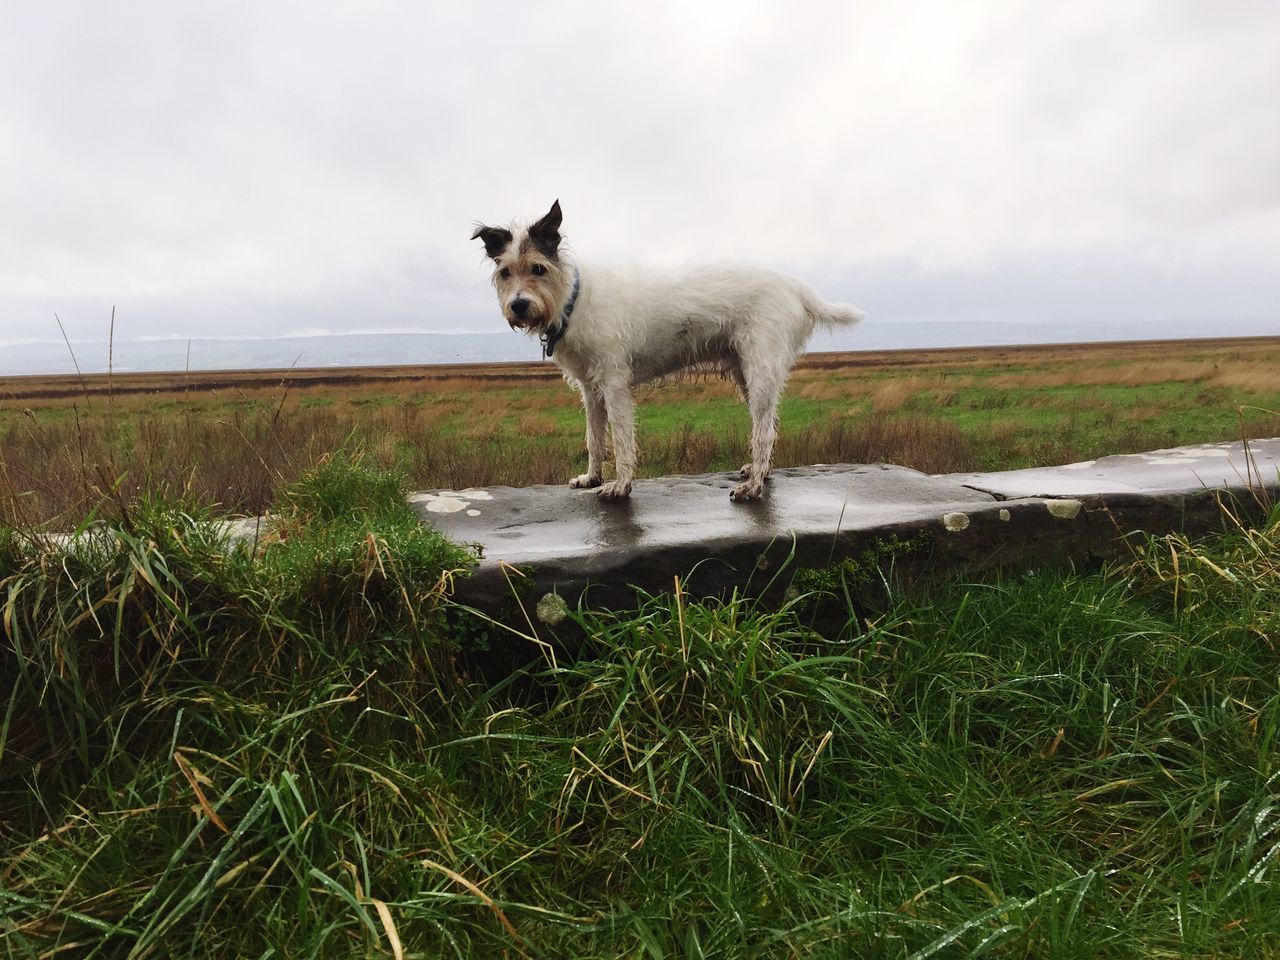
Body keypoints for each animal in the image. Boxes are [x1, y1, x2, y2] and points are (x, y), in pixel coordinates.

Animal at [476, 202, 865, 504]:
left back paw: (753, 486)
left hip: (760, 372)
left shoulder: (614, 384)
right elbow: (594, 438)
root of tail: (795, 285)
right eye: (505, 272)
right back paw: (759, 472)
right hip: (746, 374)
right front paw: (591, 477)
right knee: (768, 425)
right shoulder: (591, 390)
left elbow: (621, 438)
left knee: (764, 430)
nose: (519, 305)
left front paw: (620, 485)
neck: (574, 298)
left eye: (538, 268)